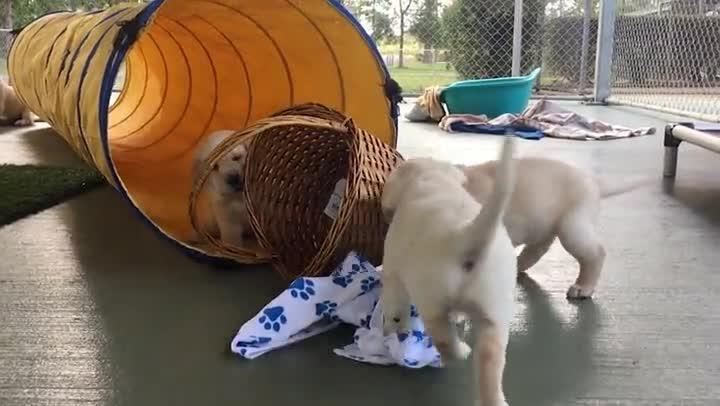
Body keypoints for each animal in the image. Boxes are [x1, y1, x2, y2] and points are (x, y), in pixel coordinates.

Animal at [382, 137, 516, 406]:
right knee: (490, 360)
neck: (432, 177)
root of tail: (464, 236)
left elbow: (394, 305)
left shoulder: (392, 268)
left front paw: (392, 327)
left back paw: (459, 351)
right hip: (496, 314)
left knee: (443, 337)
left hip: (431, 298)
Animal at [458, 157, 644, 300]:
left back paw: (582, 287)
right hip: (542, 224)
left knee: (595, 254)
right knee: (536, 249)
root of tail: (592, 180)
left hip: (572, 227)